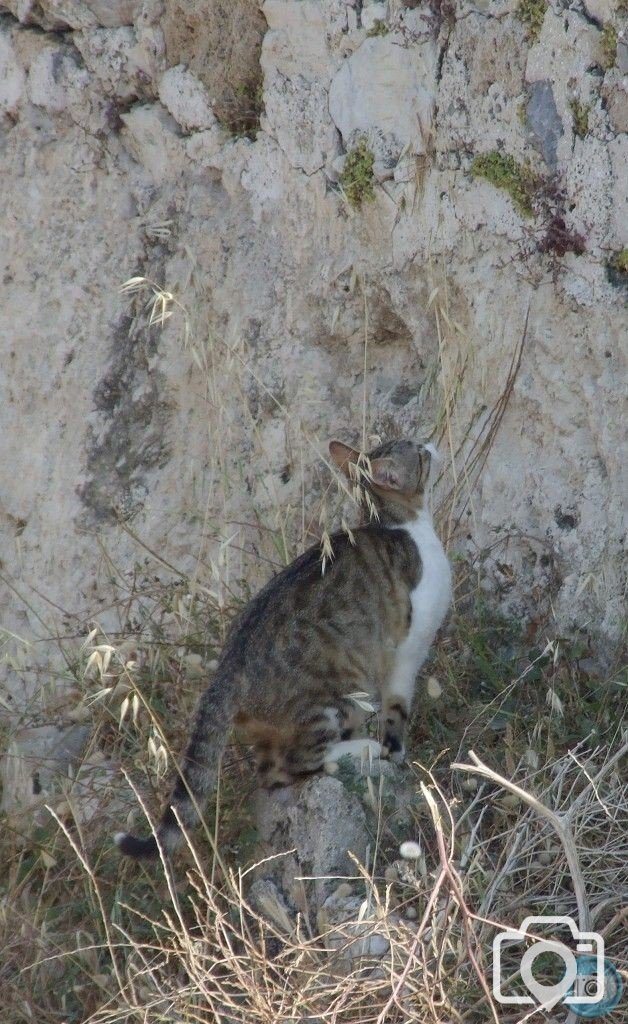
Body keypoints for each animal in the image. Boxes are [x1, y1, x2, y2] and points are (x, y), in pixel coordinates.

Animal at [115, 436, 450, 860]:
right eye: (418, 453)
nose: (430, 443)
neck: (398, 523)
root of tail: (228, 669)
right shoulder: (405, 653)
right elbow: (396, 713)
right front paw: (396, 752)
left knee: (272, 775)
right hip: (331, 700)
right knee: (299, 762)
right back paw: (362, 749)